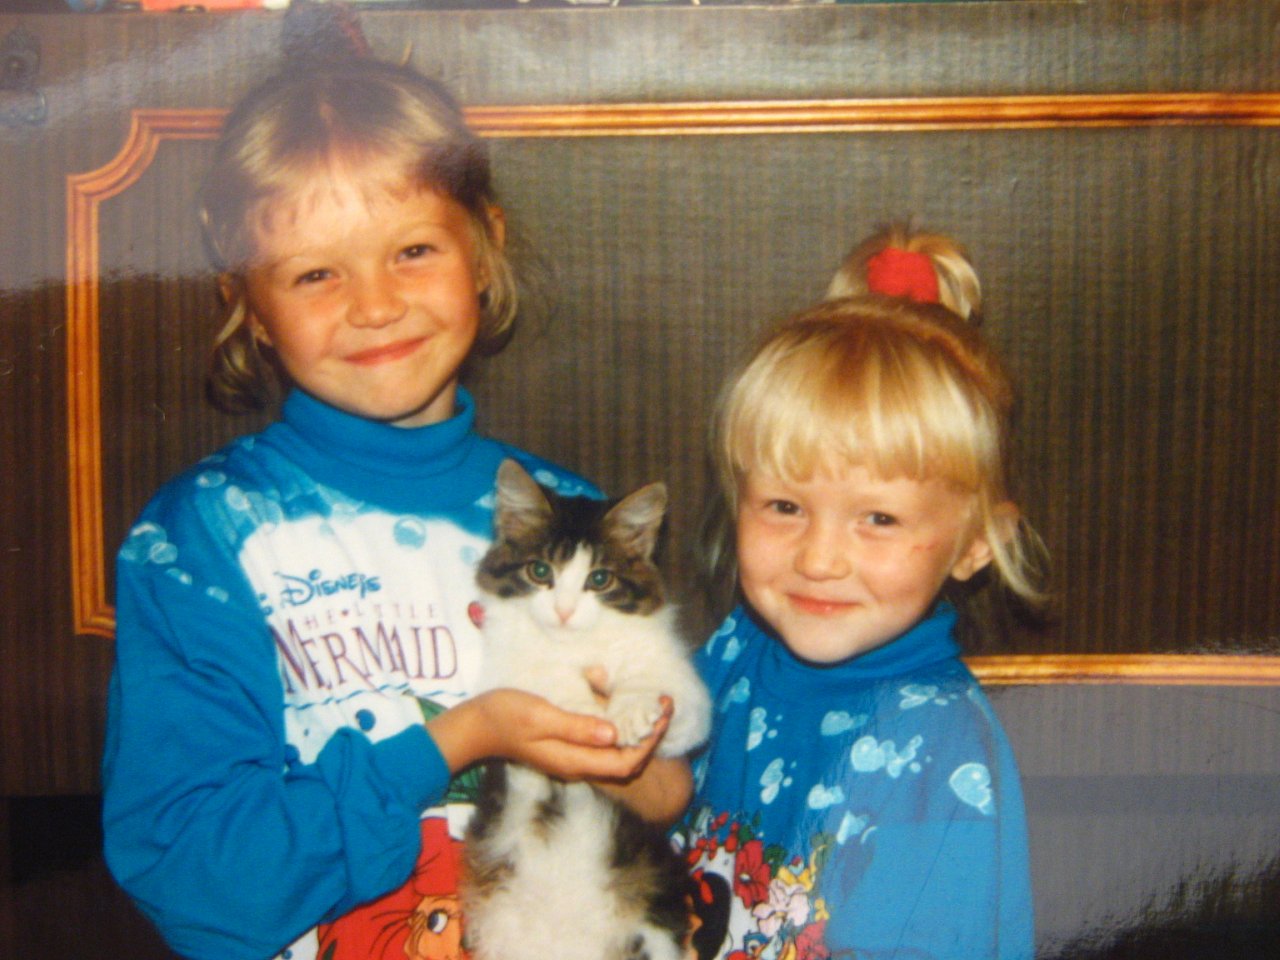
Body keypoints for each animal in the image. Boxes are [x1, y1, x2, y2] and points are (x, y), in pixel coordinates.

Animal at [461, 459, 711, 960]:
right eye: (540, 571)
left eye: (599, 580)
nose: (563, 611)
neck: (577, 643)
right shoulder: (502, 671)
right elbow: (543, 676)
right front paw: (585, 710)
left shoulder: (688, 694)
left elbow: (669, 699)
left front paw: (632, 712)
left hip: (652, 918)